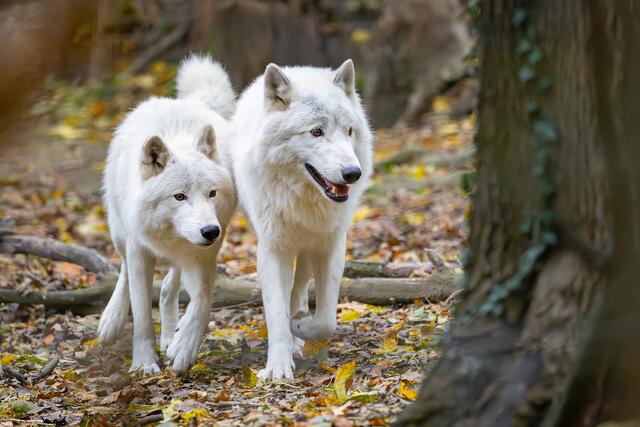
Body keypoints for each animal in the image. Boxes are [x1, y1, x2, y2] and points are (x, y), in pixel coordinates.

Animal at [97, 56, 236, 374]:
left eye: (212, 193)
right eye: (179, 196)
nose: (210, 231)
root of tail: (184, 101)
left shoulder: (205, 256)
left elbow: (202, 300)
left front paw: (184, 347)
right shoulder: (139, 252)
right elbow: (141, 317)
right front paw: (144, 363)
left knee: (168, 289)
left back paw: (172, 334)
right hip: (120, 234)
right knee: (124, 272)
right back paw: (111, 320)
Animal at [226, 60, 373, 380]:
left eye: (349, 131)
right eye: (316, 132)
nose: (353, 173)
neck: (305, 200)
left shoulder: (332, 245)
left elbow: (326, 319)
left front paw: (300, 326)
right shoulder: (272, 250)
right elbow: (276, 312)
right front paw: (278, 367)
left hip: (308, 250)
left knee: (300, 287)